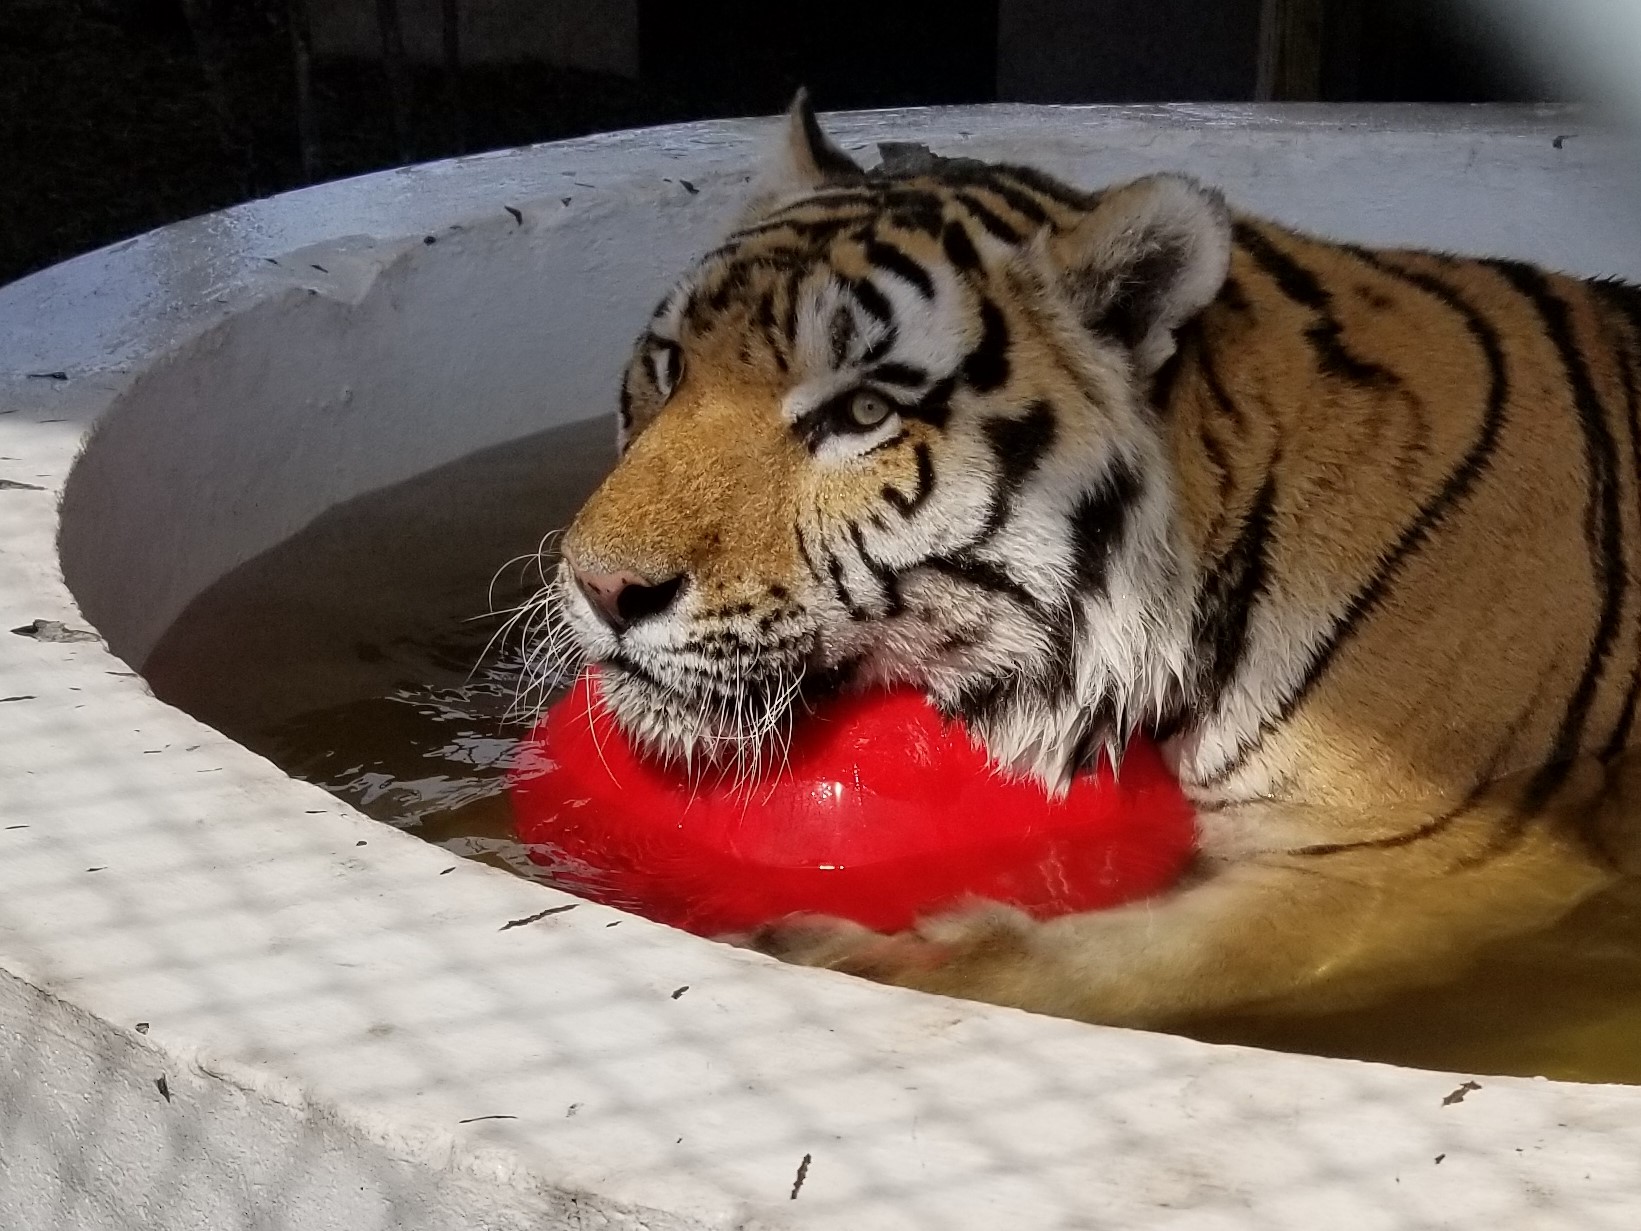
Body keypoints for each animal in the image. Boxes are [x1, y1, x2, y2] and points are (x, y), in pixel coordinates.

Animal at [548, 92, 1641, 1029]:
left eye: (864, 412)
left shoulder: (1433, 846)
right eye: (669, 369)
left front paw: (862, 961)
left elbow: (1158, 957)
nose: (602, 586)